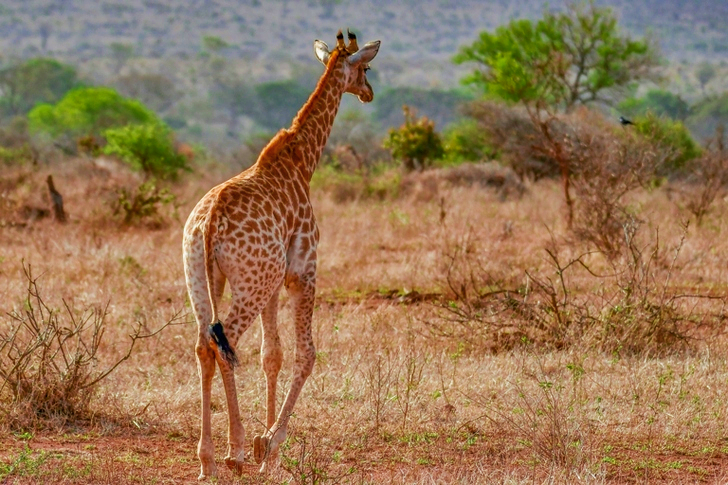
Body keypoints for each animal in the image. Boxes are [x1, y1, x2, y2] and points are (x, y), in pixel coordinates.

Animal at [183, 30, 380, 479]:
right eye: (366, 67)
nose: (369, 93)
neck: (302, 161)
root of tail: (209, 224)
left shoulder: (274, 281)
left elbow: (271, 355)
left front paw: (265, 445)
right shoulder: (302, 269)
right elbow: (306, 354)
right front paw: (270, 443)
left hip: (202, 278)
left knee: (204, 344)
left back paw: (207, 459)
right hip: (249, 284)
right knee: (222, 343)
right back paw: (233, 452)